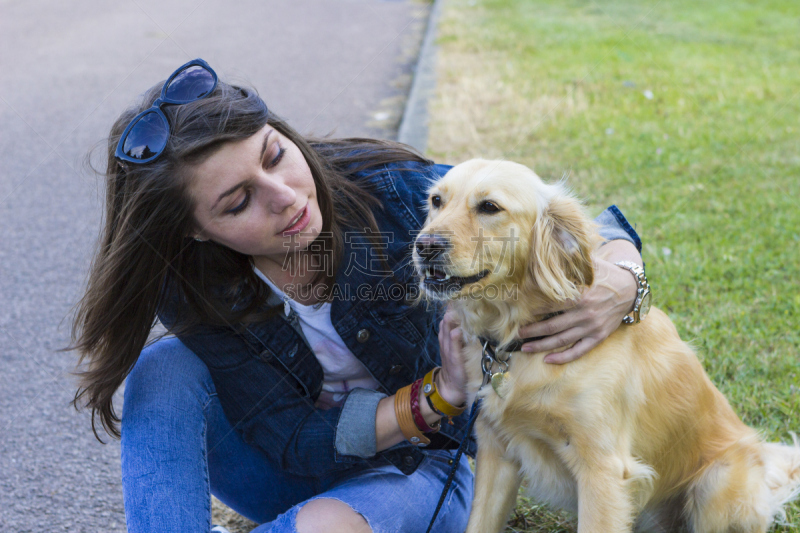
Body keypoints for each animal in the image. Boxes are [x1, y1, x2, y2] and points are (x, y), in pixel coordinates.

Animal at [412, 159, 800, 532]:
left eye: (489, 206)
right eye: (436, 201)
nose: (424, 246)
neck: (519, 336)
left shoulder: (603, 469)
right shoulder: (496, 451)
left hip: (715, 486)